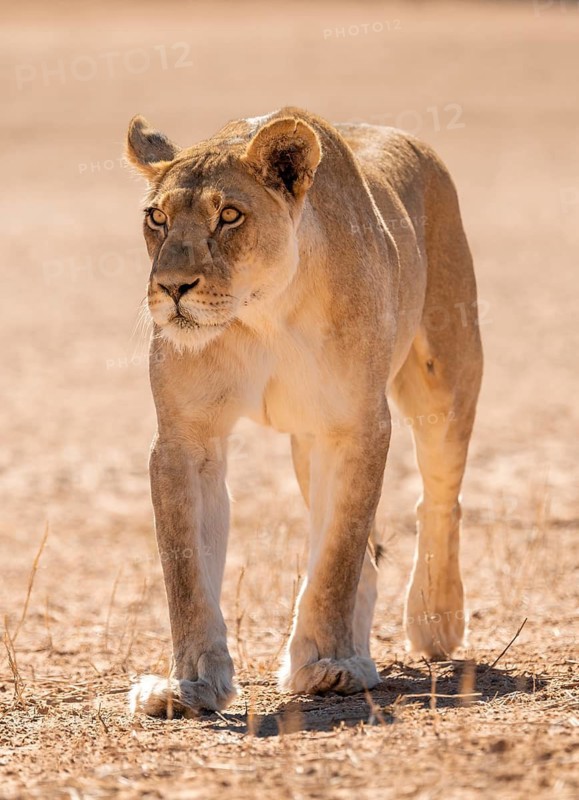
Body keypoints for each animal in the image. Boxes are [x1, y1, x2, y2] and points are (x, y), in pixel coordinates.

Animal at [125, 107, 483, 717]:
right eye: (157, 218)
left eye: (229, 215)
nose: (172, 288)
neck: (262, 313)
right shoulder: (185, 437)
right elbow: (186, 568)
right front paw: (189, 684)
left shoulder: (357, 426)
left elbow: (337, 554)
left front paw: (328, 664)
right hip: (305, 443)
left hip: (447, 378)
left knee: (438, 500)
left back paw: (435, 617)